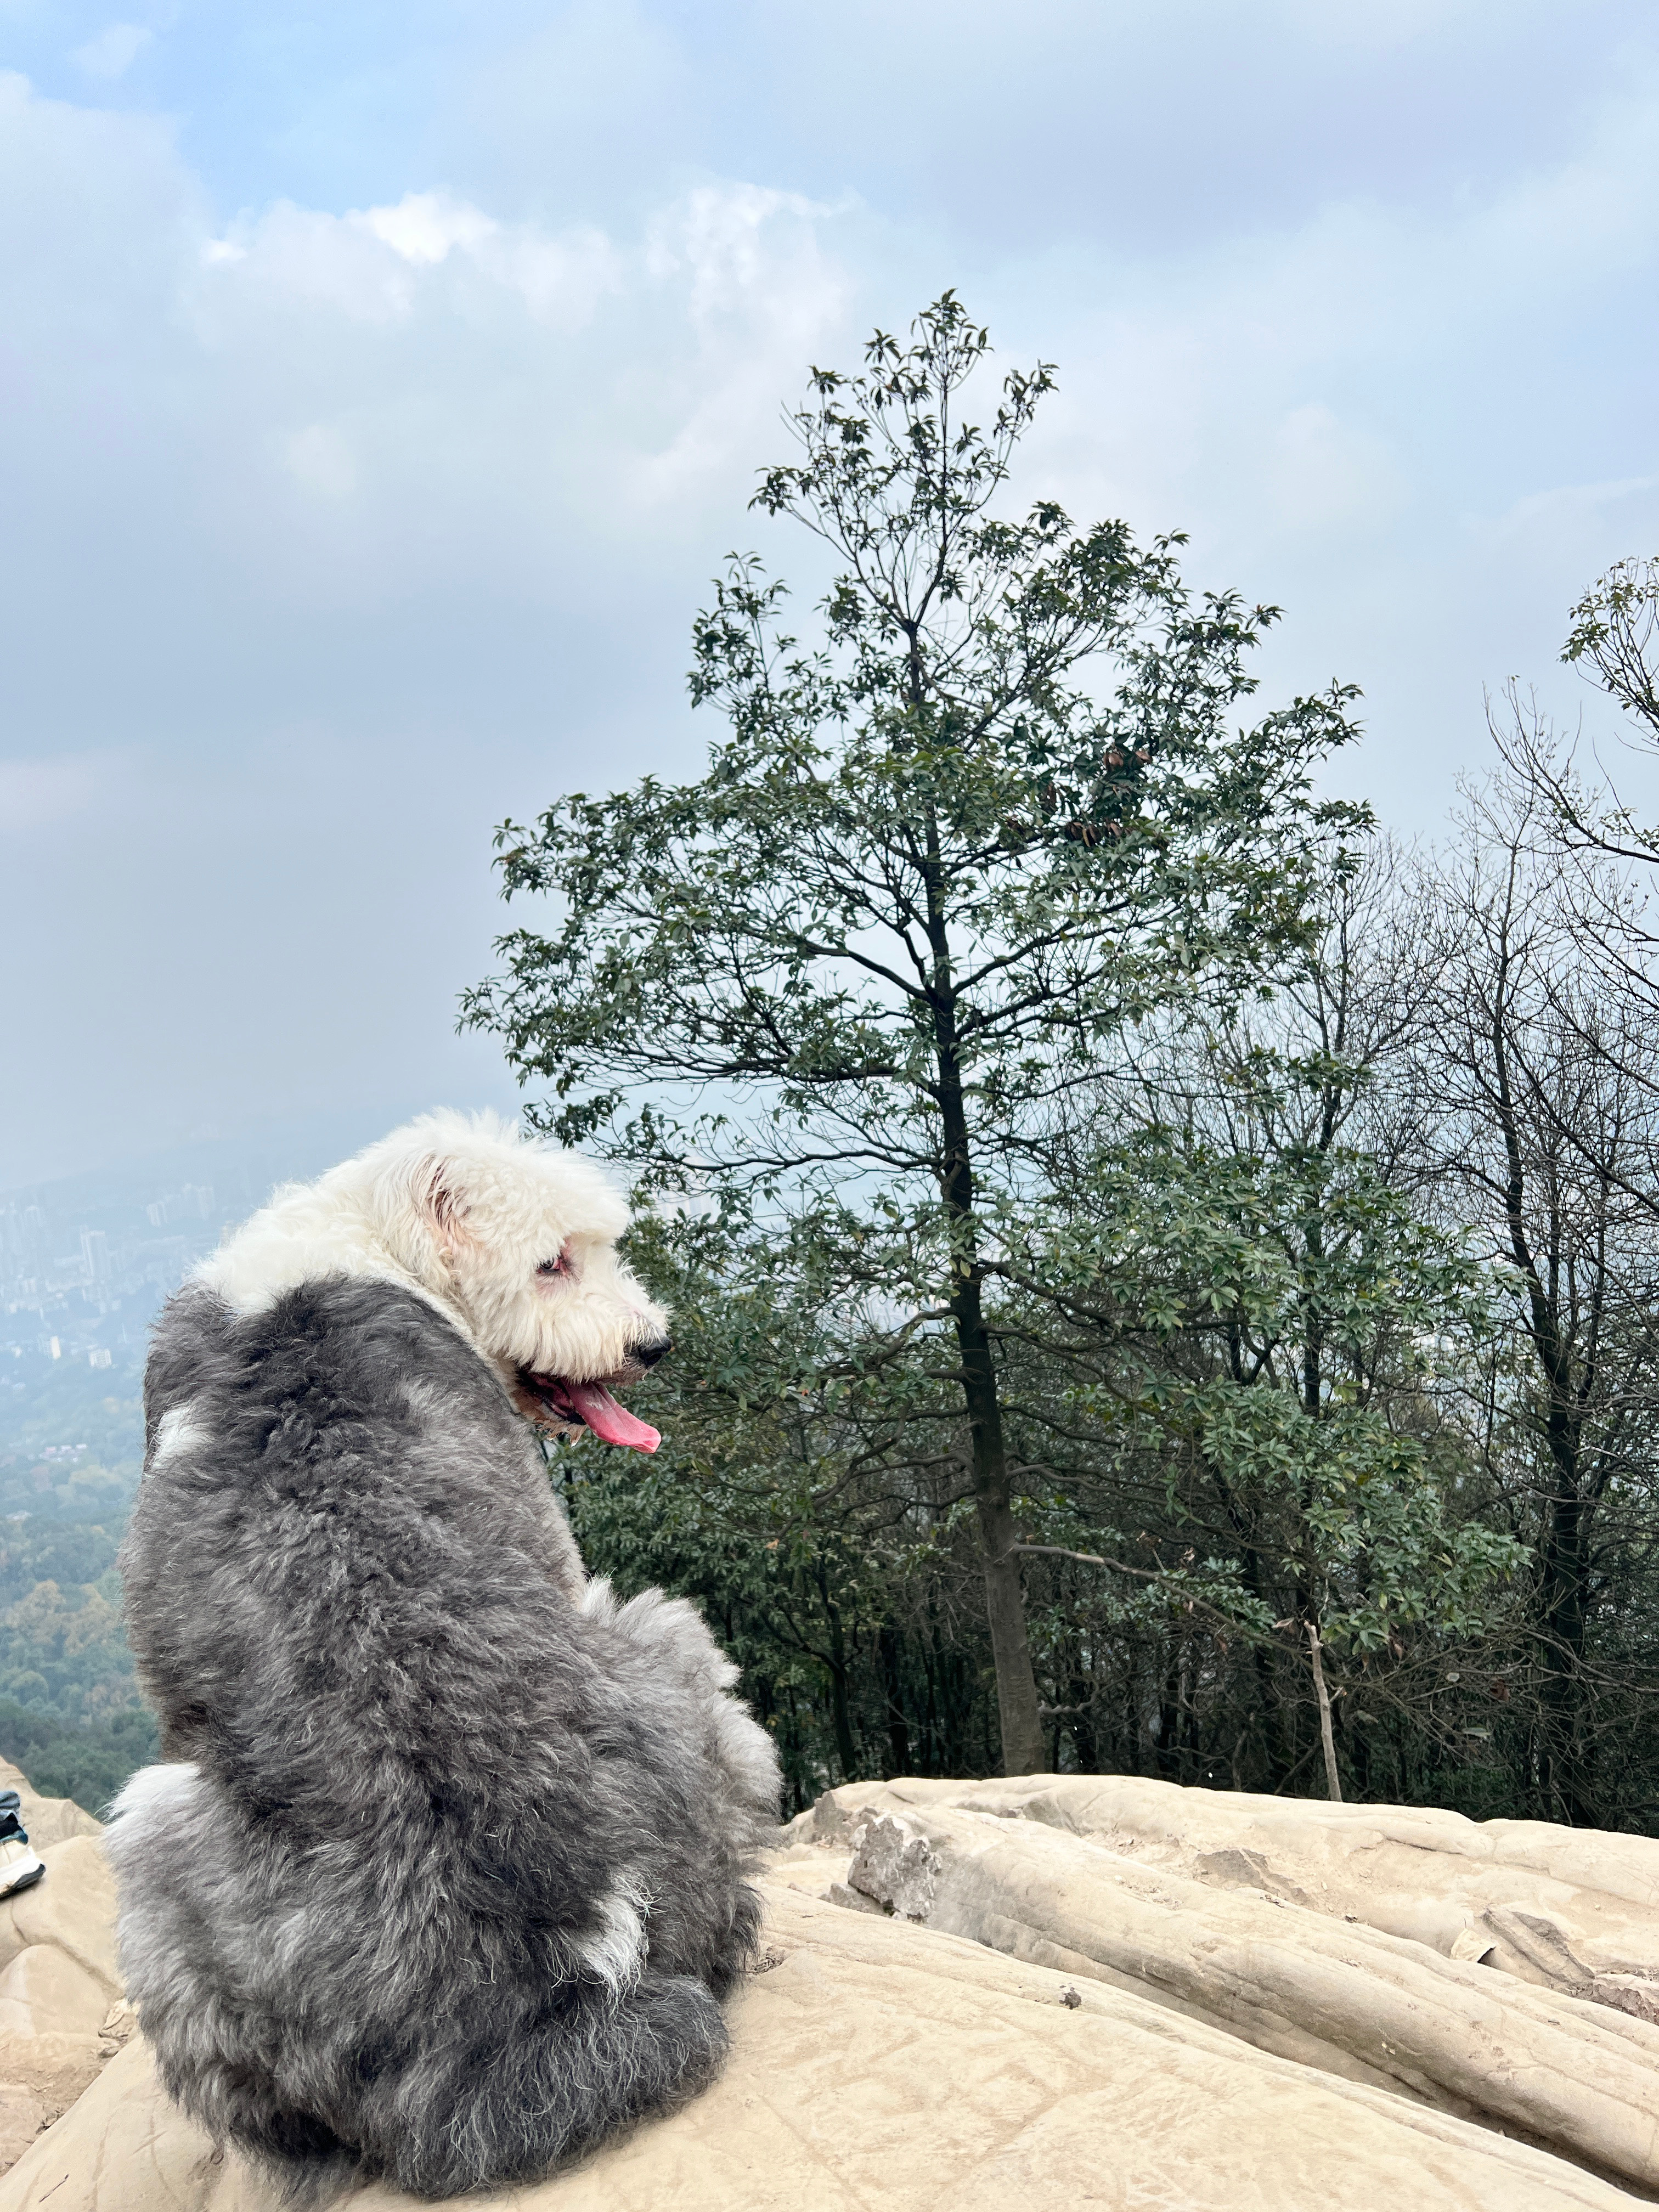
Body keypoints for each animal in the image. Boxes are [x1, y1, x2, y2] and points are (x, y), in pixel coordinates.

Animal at [112, 1115, 787, 2203]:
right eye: (552, 1261)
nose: (652, 1343)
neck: (362, 1234)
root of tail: (538, 1991)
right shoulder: (565, 1561)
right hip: (659, 1629)